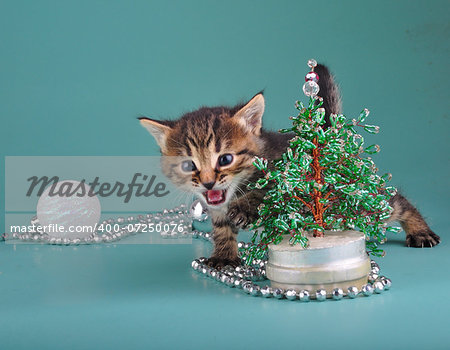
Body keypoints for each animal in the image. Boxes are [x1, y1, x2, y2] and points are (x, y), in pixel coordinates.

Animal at [140, 63, 440, 268]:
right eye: (188, 165)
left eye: (225, 159)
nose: (208, 182)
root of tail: (326, 139)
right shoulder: (217, 208)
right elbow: (222, 228)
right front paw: (224, 255)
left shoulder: (287, 175)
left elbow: (265, 192)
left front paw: (245, 208)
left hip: (355, 200)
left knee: (394, 203)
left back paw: (420, 230)